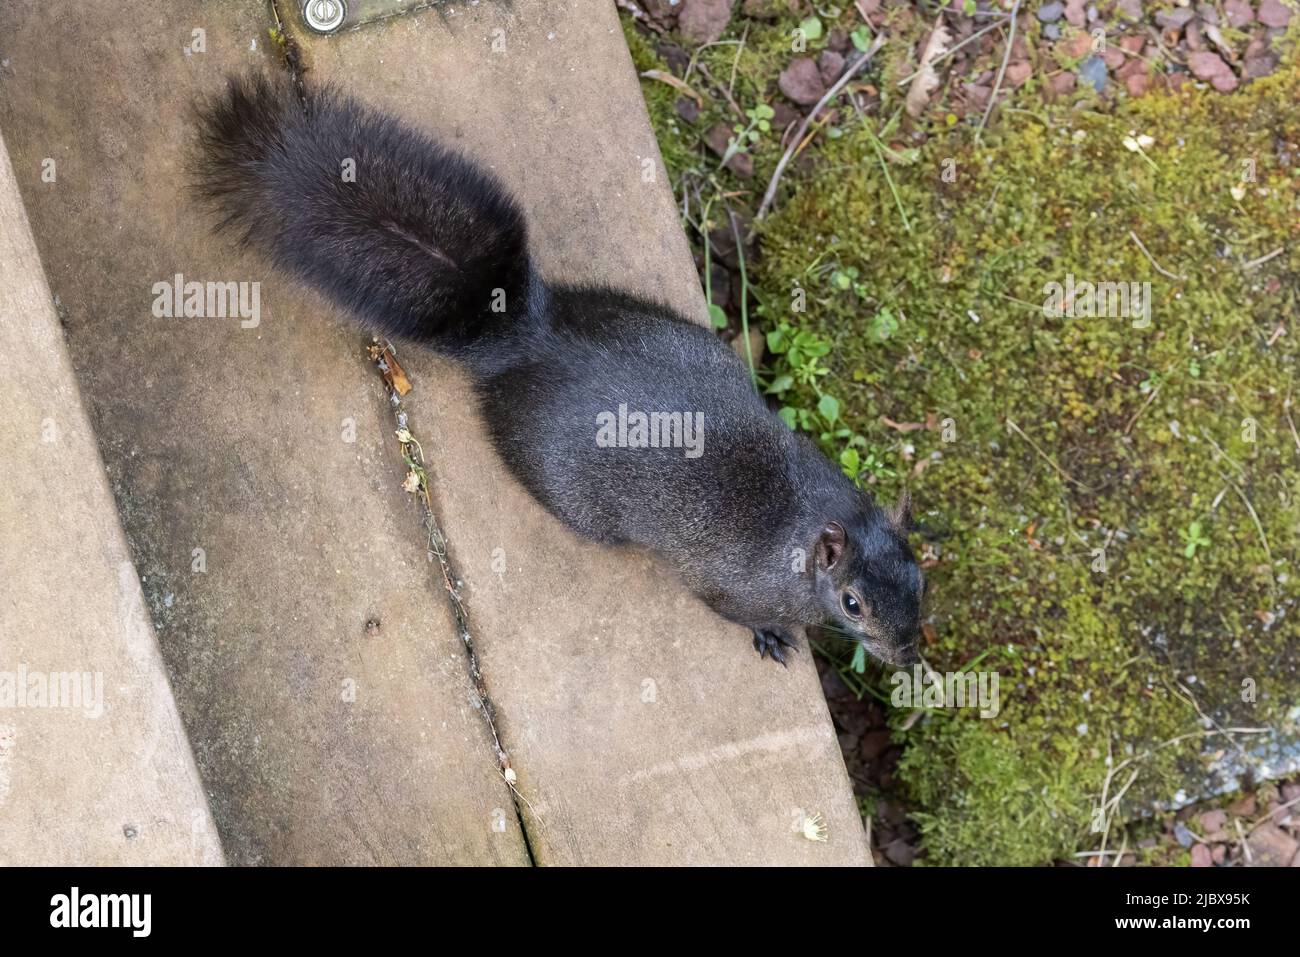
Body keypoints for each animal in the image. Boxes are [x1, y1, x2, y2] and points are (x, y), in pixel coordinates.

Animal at [192, 72, 925, 665]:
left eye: (921, 575)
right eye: (853, 603)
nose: (910, 654)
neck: (810, 520)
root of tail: (532, 340)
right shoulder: (727, 581)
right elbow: (728, 608)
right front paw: (772, 635)